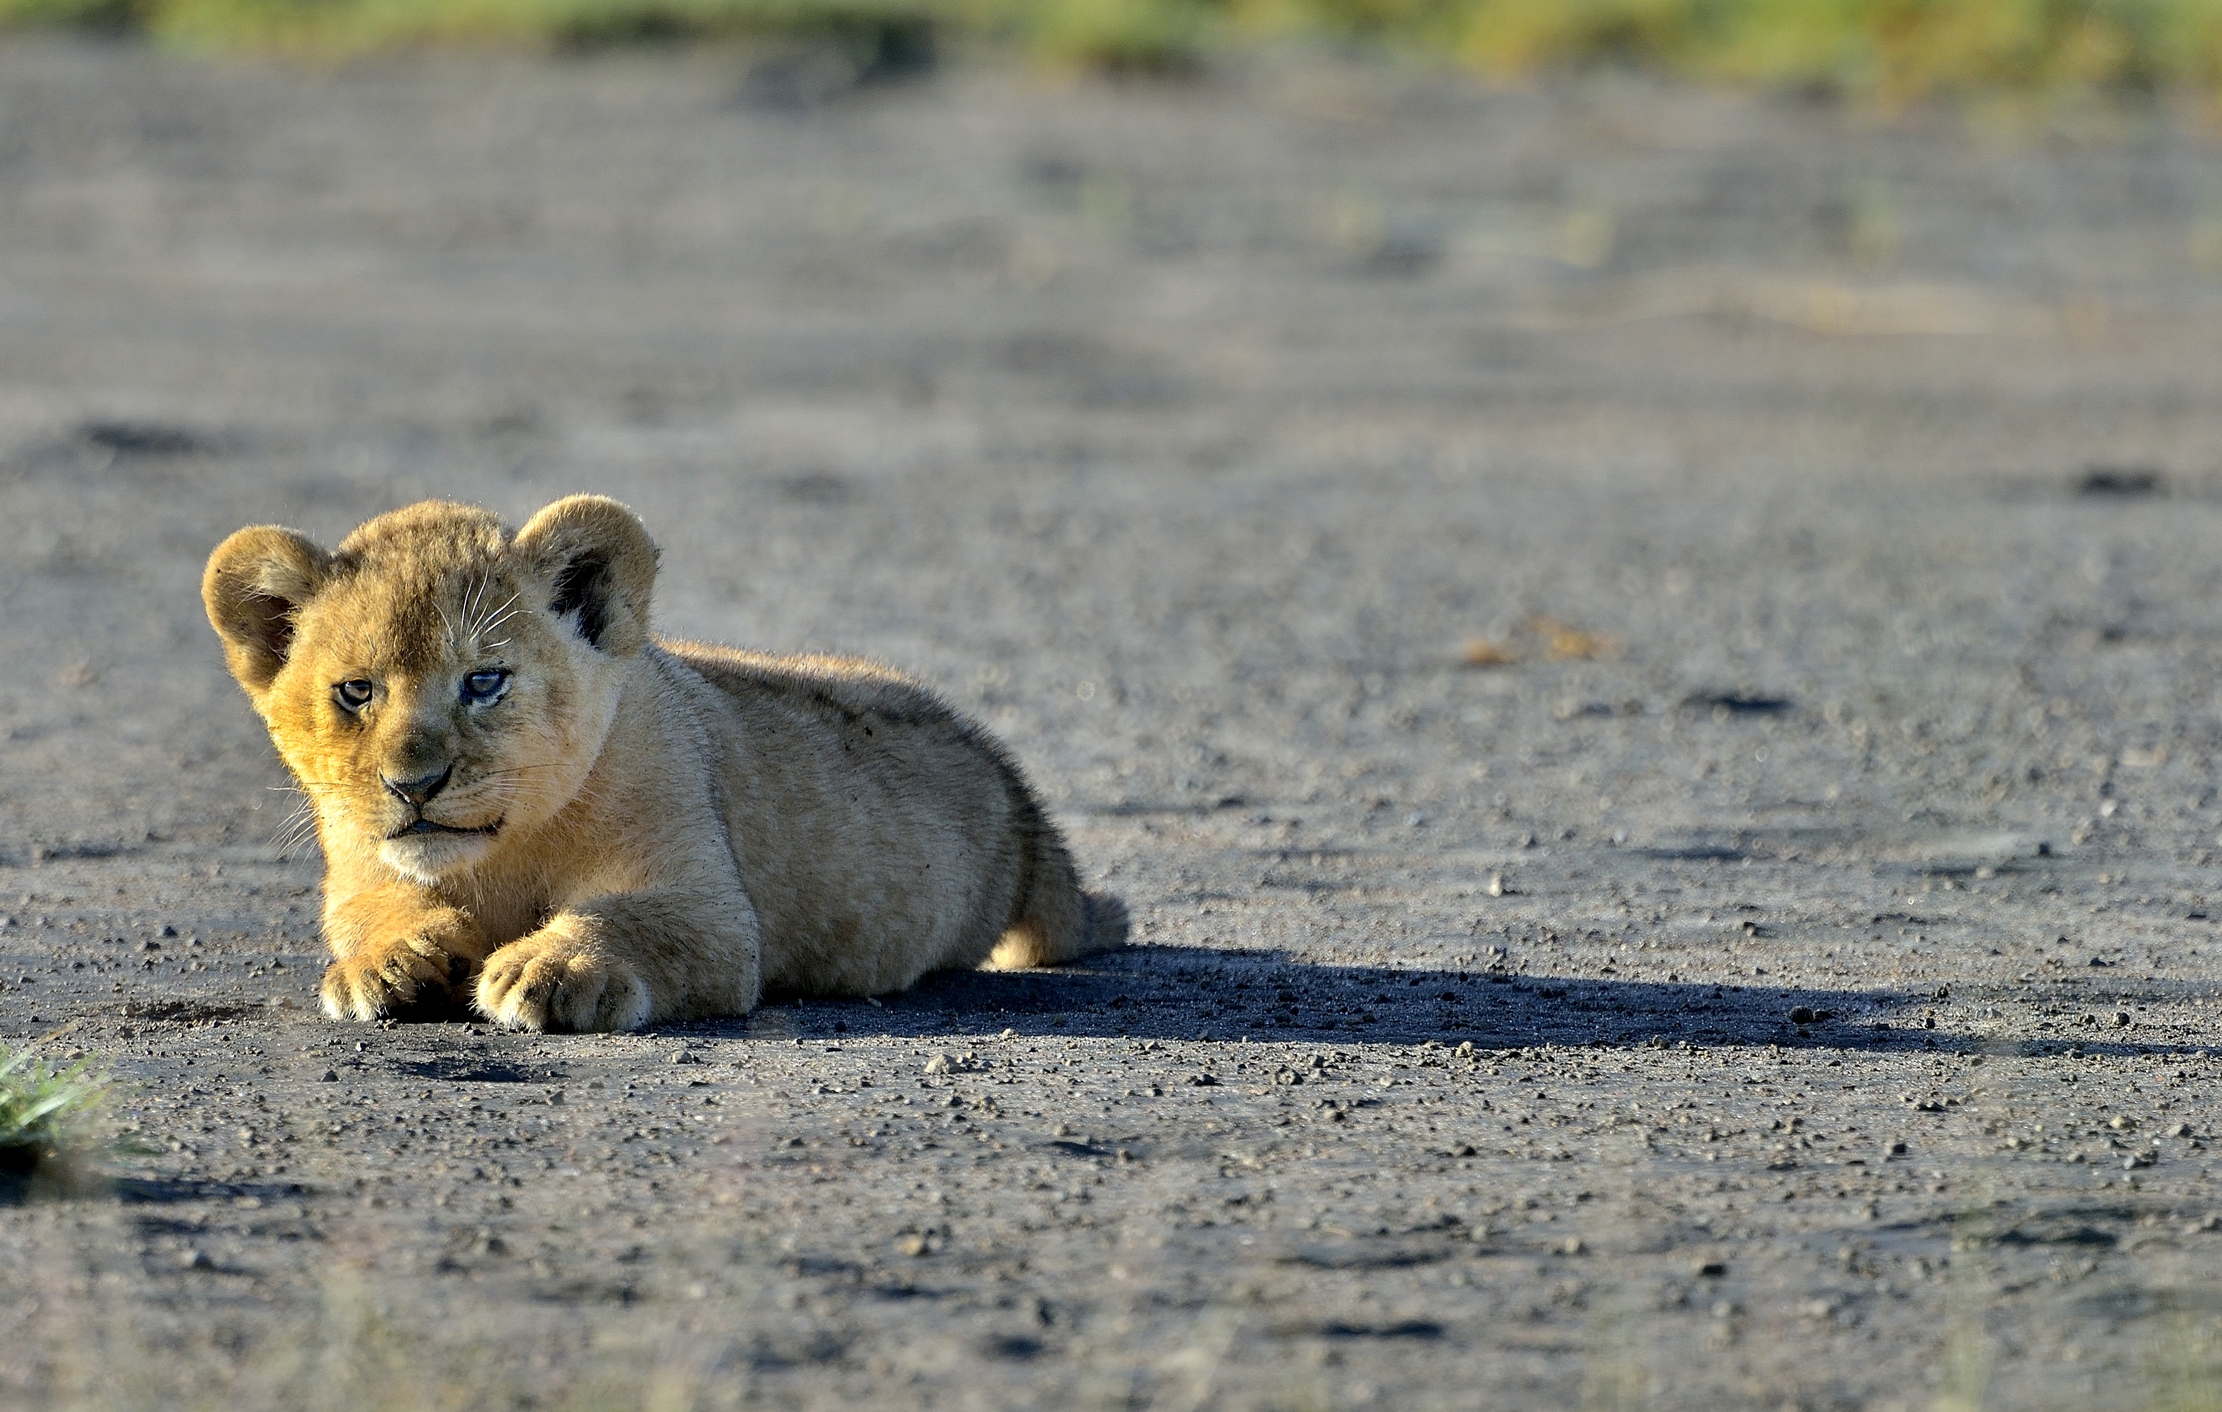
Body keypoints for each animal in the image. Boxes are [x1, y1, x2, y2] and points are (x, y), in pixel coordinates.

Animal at [202, 495, 1125, 1032]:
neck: (505, 852)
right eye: (356, 691)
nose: (412, 784)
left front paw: (549, 967)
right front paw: (388, 967)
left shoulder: (711, 906)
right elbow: (373, 912)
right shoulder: (359, 868)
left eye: (484, 681)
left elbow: (631, 919)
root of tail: (1009, 777)